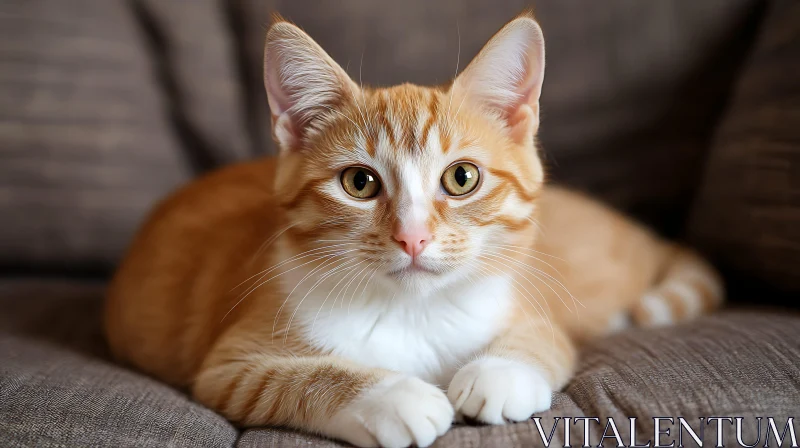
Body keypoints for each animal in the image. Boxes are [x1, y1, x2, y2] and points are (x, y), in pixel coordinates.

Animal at [104, 11, 724, 448]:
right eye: (359, 183)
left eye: (462, 178)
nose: (412, 237)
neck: (414, 311)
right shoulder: (229, 365)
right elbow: (297, 378)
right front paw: (395, 396)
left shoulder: (533, 309)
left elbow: (540, 340)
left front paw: (500, 372)